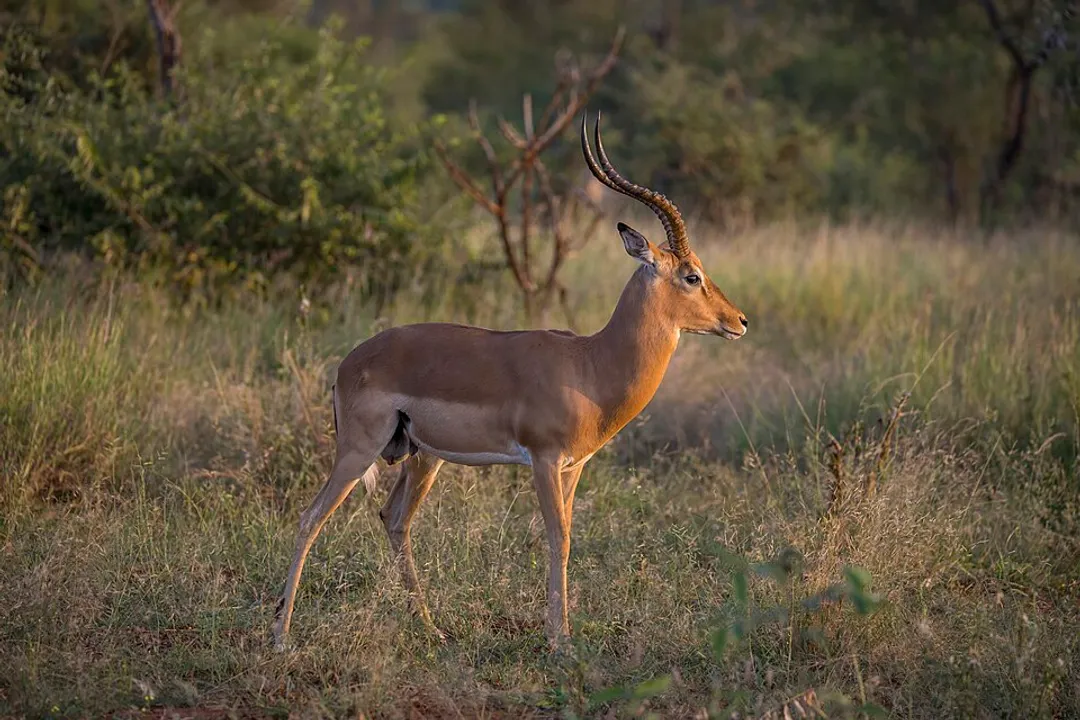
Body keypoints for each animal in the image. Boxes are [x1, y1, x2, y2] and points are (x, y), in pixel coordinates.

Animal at [273, 112, 749, 650]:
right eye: (692, 276)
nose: (739, 321)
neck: (590, 363)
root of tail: (348, 363)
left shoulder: (573, 467)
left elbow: (567, 537)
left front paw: (559, 633)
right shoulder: (543, 460)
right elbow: (556, 538)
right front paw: (559, 642)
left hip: (421, 456)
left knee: (394, 520)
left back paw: (432, 629)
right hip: (359, 450)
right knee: (310, 519)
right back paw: (280, 636)